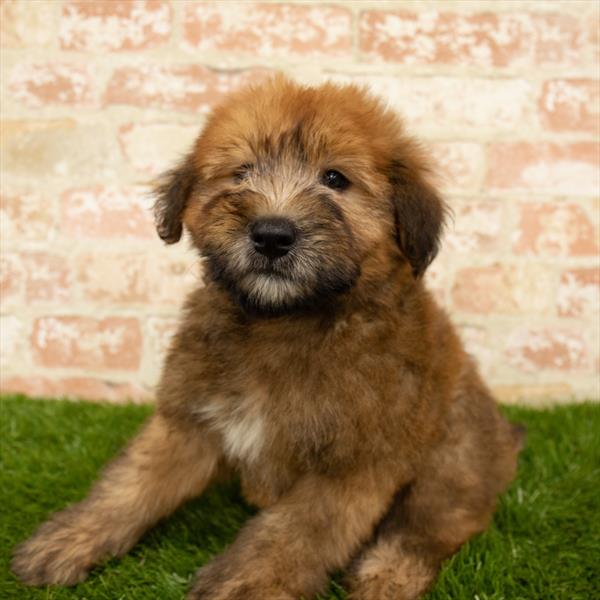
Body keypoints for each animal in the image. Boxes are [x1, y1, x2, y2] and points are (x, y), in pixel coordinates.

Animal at [11, 77, 524, 596]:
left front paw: (244, 583)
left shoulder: (353, 464)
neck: (282, 323)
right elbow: (131, 482)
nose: (272, 235)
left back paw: (386, 576)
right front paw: (70, 537)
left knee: (432, 527)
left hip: (453, 454)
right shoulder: (189, 420)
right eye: (241, 173)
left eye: (335, 179)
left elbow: (291, 533)